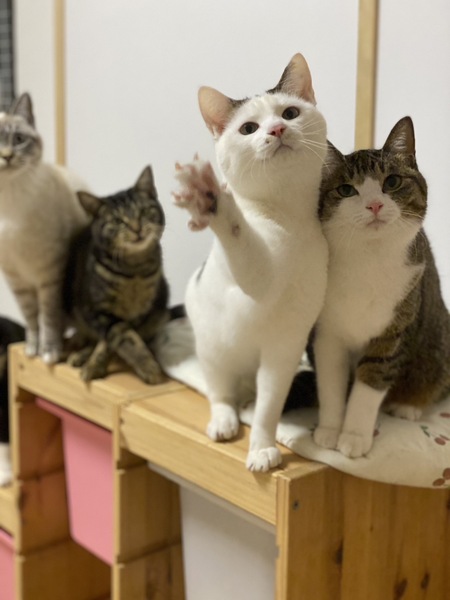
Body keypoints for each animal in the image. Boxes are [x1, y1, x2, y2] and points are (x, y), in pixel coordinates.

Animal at [0, 92, 89, 364]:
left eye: (18, 140)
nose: (7, 156)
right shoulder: (16, 279)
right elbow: (31, 320)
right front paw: (31, 350)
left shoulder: (49, 275)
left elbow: (48, 319)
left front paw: (49, 352)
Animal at [64, 166, 169, 383]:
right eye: (117, 221)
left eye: (144, 212)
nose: (137, 228)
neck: (134, 271)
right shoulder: (97, 310)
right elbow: (122, 337)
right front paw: (147, 366)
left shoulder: (140, 312)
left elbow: (119, 340)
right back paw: (81, 353)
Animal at [174, 53, 328, 472]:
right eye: (248, 128)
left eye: (290, 112)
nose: (276, 129)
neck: (288, 218)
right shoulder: (255, 275)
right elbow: (240, 237)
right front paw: (211, 198)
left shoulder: (284, 348)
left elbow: (268, 408)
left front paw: (261, 447)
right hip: (213, 351)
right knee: (219, 393)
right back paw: (224, 420)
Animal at [313, 116, 450, 458]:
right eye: (346, 189)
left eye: (392, 182)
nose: (374, 205)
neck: (368, 259)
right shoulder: (327, 333)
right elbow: (330, 382)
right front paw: (330, 430)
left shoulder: (393, 332)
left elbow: (370, 382)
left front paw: (353, 437)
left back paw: (408, 406)